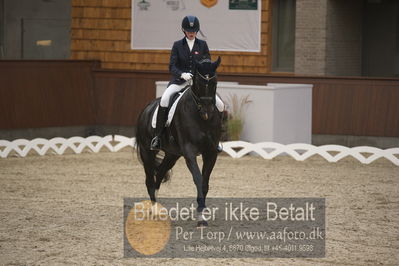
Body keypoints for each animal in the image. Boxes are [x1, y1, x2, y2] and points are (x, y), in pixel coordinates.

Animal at [134, 57, 222, 227]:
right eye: (198, 83)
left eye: (214, 82)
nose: (207, 112)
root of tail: (146, 109)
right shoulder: (189, 152)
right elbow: (198, 178)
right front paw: (201, 218)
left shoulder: (211, 152)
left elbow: (205, 183)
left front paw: (202, 216)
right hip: (147, 151)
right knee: (150, 180)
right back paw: (154, 211)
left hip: (172, 155)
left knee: (159, 174)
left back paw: (157, 209)